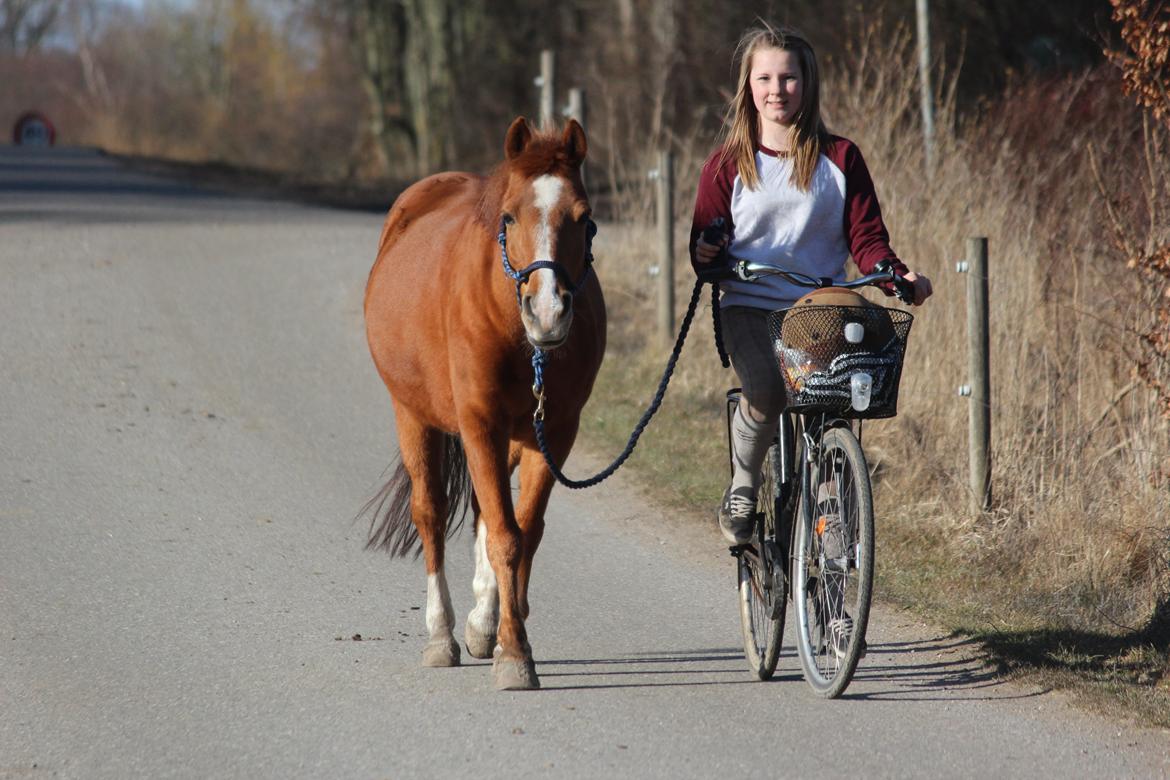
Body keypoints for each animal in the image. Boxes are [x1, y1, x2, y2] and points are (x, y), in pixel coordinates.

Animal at [362, 115, 603, 687]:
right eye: (509, 216)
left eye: (583, 217)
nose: (547, 312)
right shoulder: (478, 423)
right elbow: (505, 536)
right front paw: (512, 653)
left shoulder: (552, 433)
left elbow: (521, 532)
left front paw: (506, 638)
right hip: (414, 416)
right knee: (430, 512)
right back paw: (440, 635)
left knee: (484, 514)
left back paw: (480, 623)